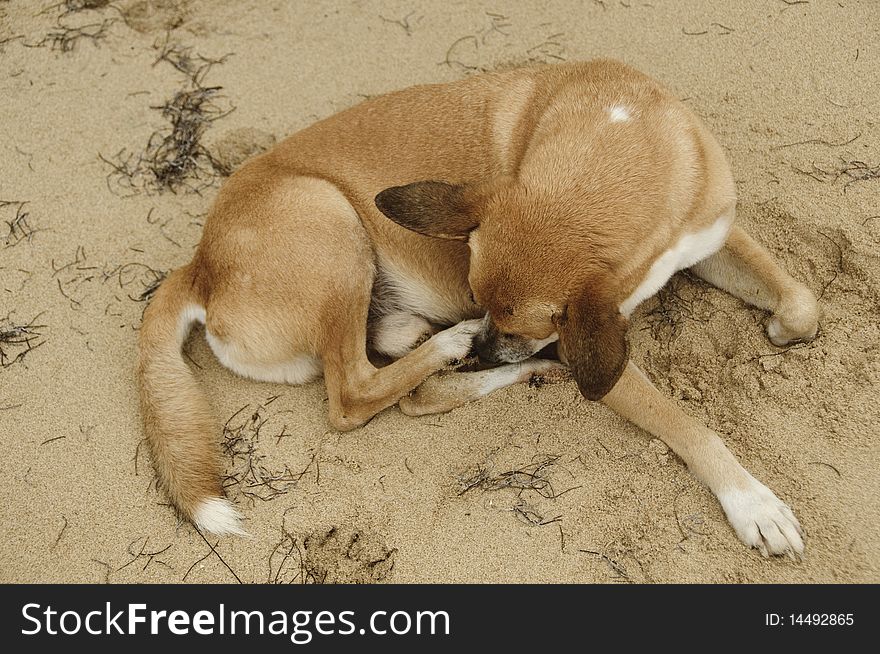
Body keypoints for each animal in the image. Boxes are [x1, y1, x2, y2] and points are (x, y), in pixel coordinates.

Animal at [138, 60, 820, 560]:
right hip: (327, 217)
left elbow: (803, 303)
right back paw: (463, 351)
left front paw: (783, 325)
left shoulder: (707, 234)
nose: (493, 345)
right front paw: (752, 503)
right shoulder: (600, 341)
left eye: (522, 322)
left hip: (383, 305)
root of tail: (199, 264)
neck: (619, 145)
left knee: (412, 387)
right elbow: (686, 425)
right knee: (357, 395)